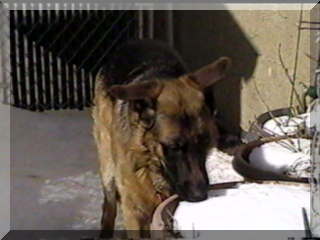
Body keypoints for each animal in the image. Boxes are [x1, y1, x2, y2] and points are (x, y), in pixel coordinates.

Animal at [91, 39, 231, 238]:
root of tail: (134, 42)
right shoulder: (134, 211)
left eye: (204, 141)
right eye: (173, 147)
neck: (153, 167)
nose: (199, 196)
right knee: (109, 204)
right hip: (108, 165)